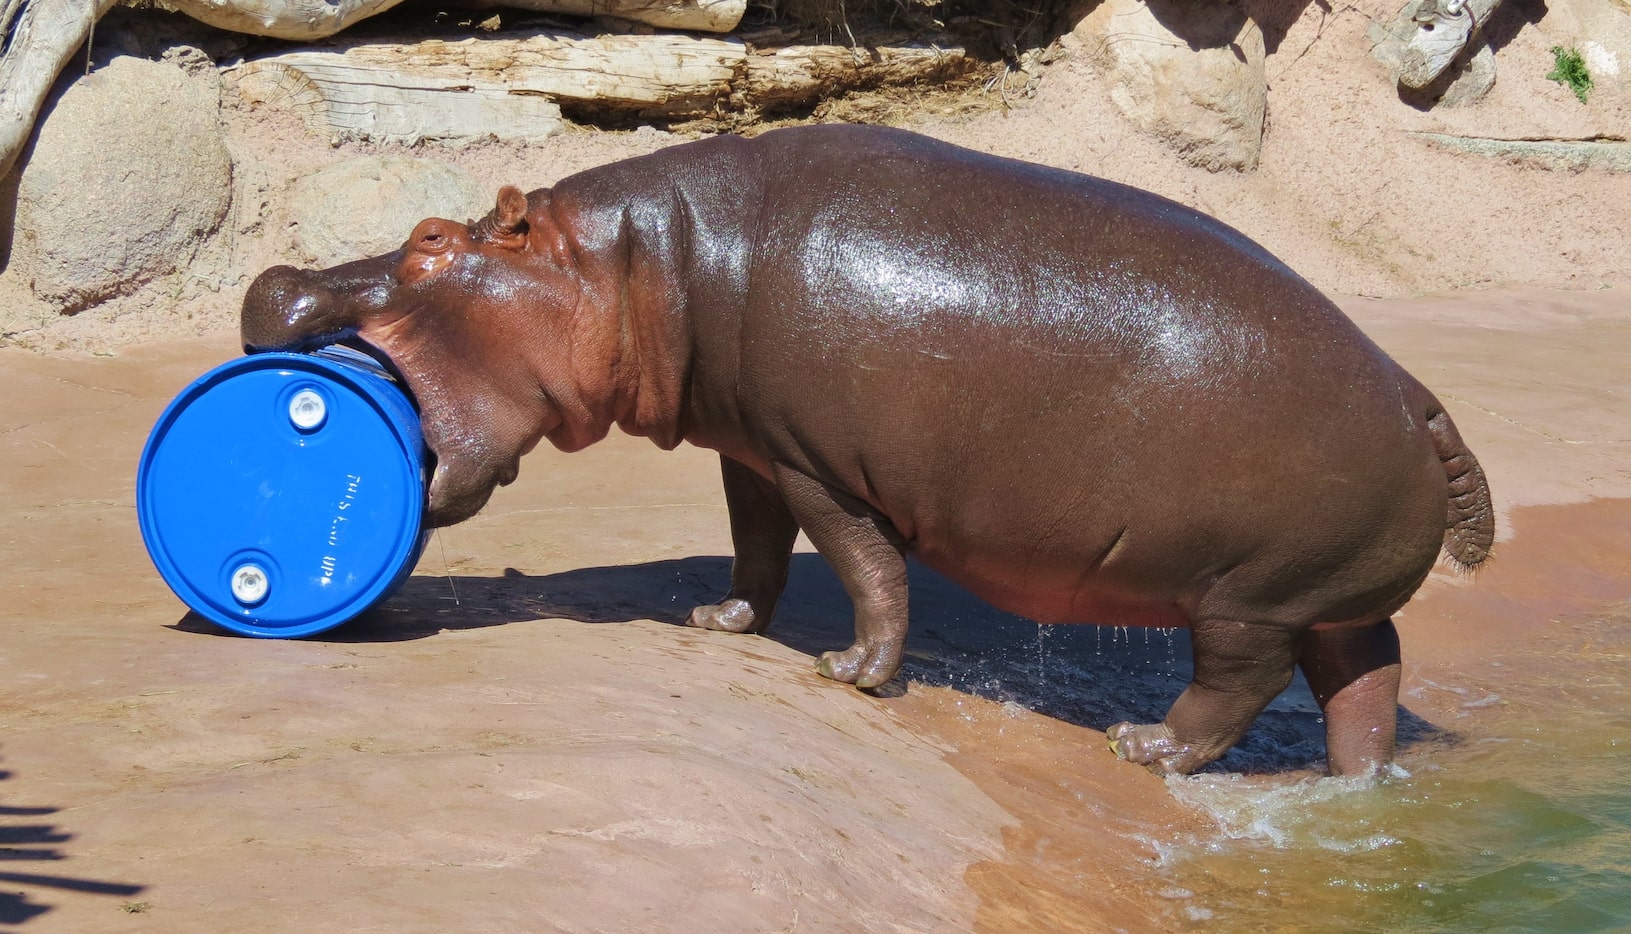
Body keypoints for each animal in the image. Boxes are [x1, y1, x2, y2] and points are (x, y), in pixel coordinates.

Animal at [238, 125, 1493, 779]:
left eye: (428, 242)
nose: (271, 285)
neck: (639, 263)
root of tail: (1414, 393)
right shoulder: (747, 447)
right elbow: (753, 547)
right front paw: (719, 623)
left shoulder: (814, 463)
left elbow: (863, 565)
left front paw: (850, 672)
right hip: (1327, 600)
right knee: (1365, 679)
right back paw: (1352, 784)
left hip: (1248, 598)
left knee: (1237, 683)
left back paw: (1144, 747)